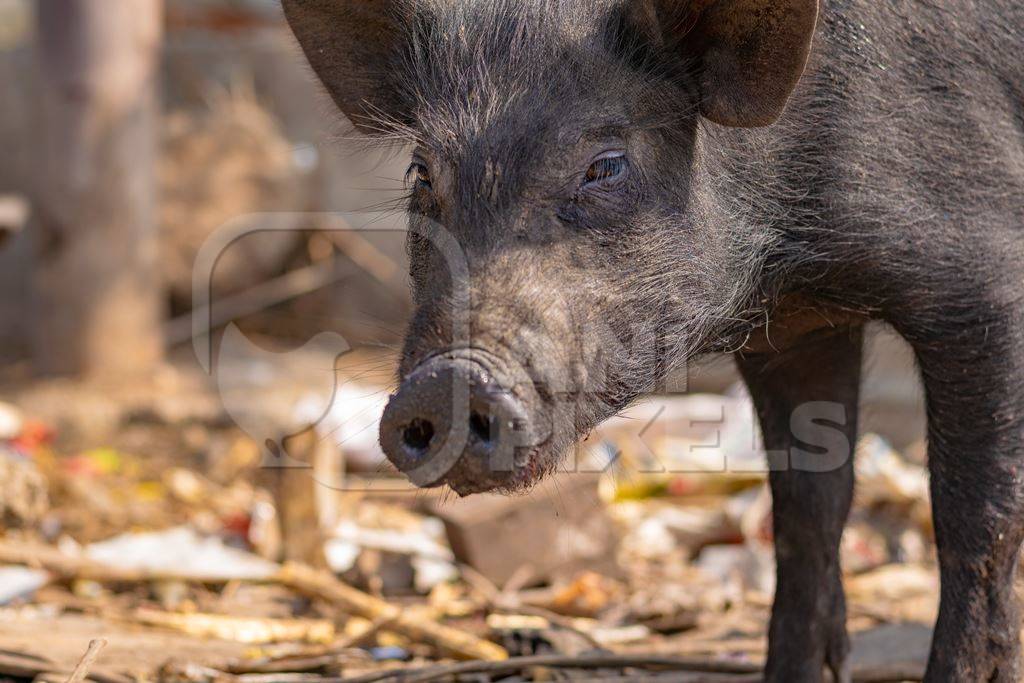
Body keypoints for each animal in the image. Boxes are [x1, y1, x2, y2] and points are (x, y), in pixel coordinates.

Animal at [284, 2, 1024, 679]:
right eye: (421, 173)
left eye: (606, 166)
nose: (444, 382)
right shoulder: (794, 332)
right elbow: (806, 510)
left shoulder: (986, 282)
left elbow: (974, 519)